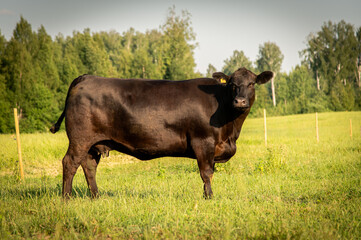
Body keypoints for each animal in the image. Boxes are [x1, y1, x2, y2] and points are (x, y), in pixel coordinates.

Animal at [50, 67, 270, 199]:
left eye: (251, 83)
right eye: (232, 84)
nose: (240, 101)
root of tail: (87, 77)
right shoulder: (203, 141)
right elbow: (207, 173)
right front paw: (209, 197)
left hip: (94, 143)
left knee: (89, 166)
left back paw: (96, 196)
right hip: (80, 139)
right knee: (70, 163)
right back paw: (66, 198)